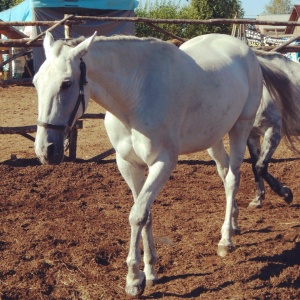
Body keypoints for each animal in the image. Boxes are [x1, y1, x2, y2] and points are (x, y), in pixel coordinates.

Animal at [247, 49, 300, 209]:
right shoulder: (251, 135)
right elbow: (255, 165)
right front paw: (258, 198)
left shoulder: (273, 132)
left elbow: (261, 166)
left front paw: (286, 194)